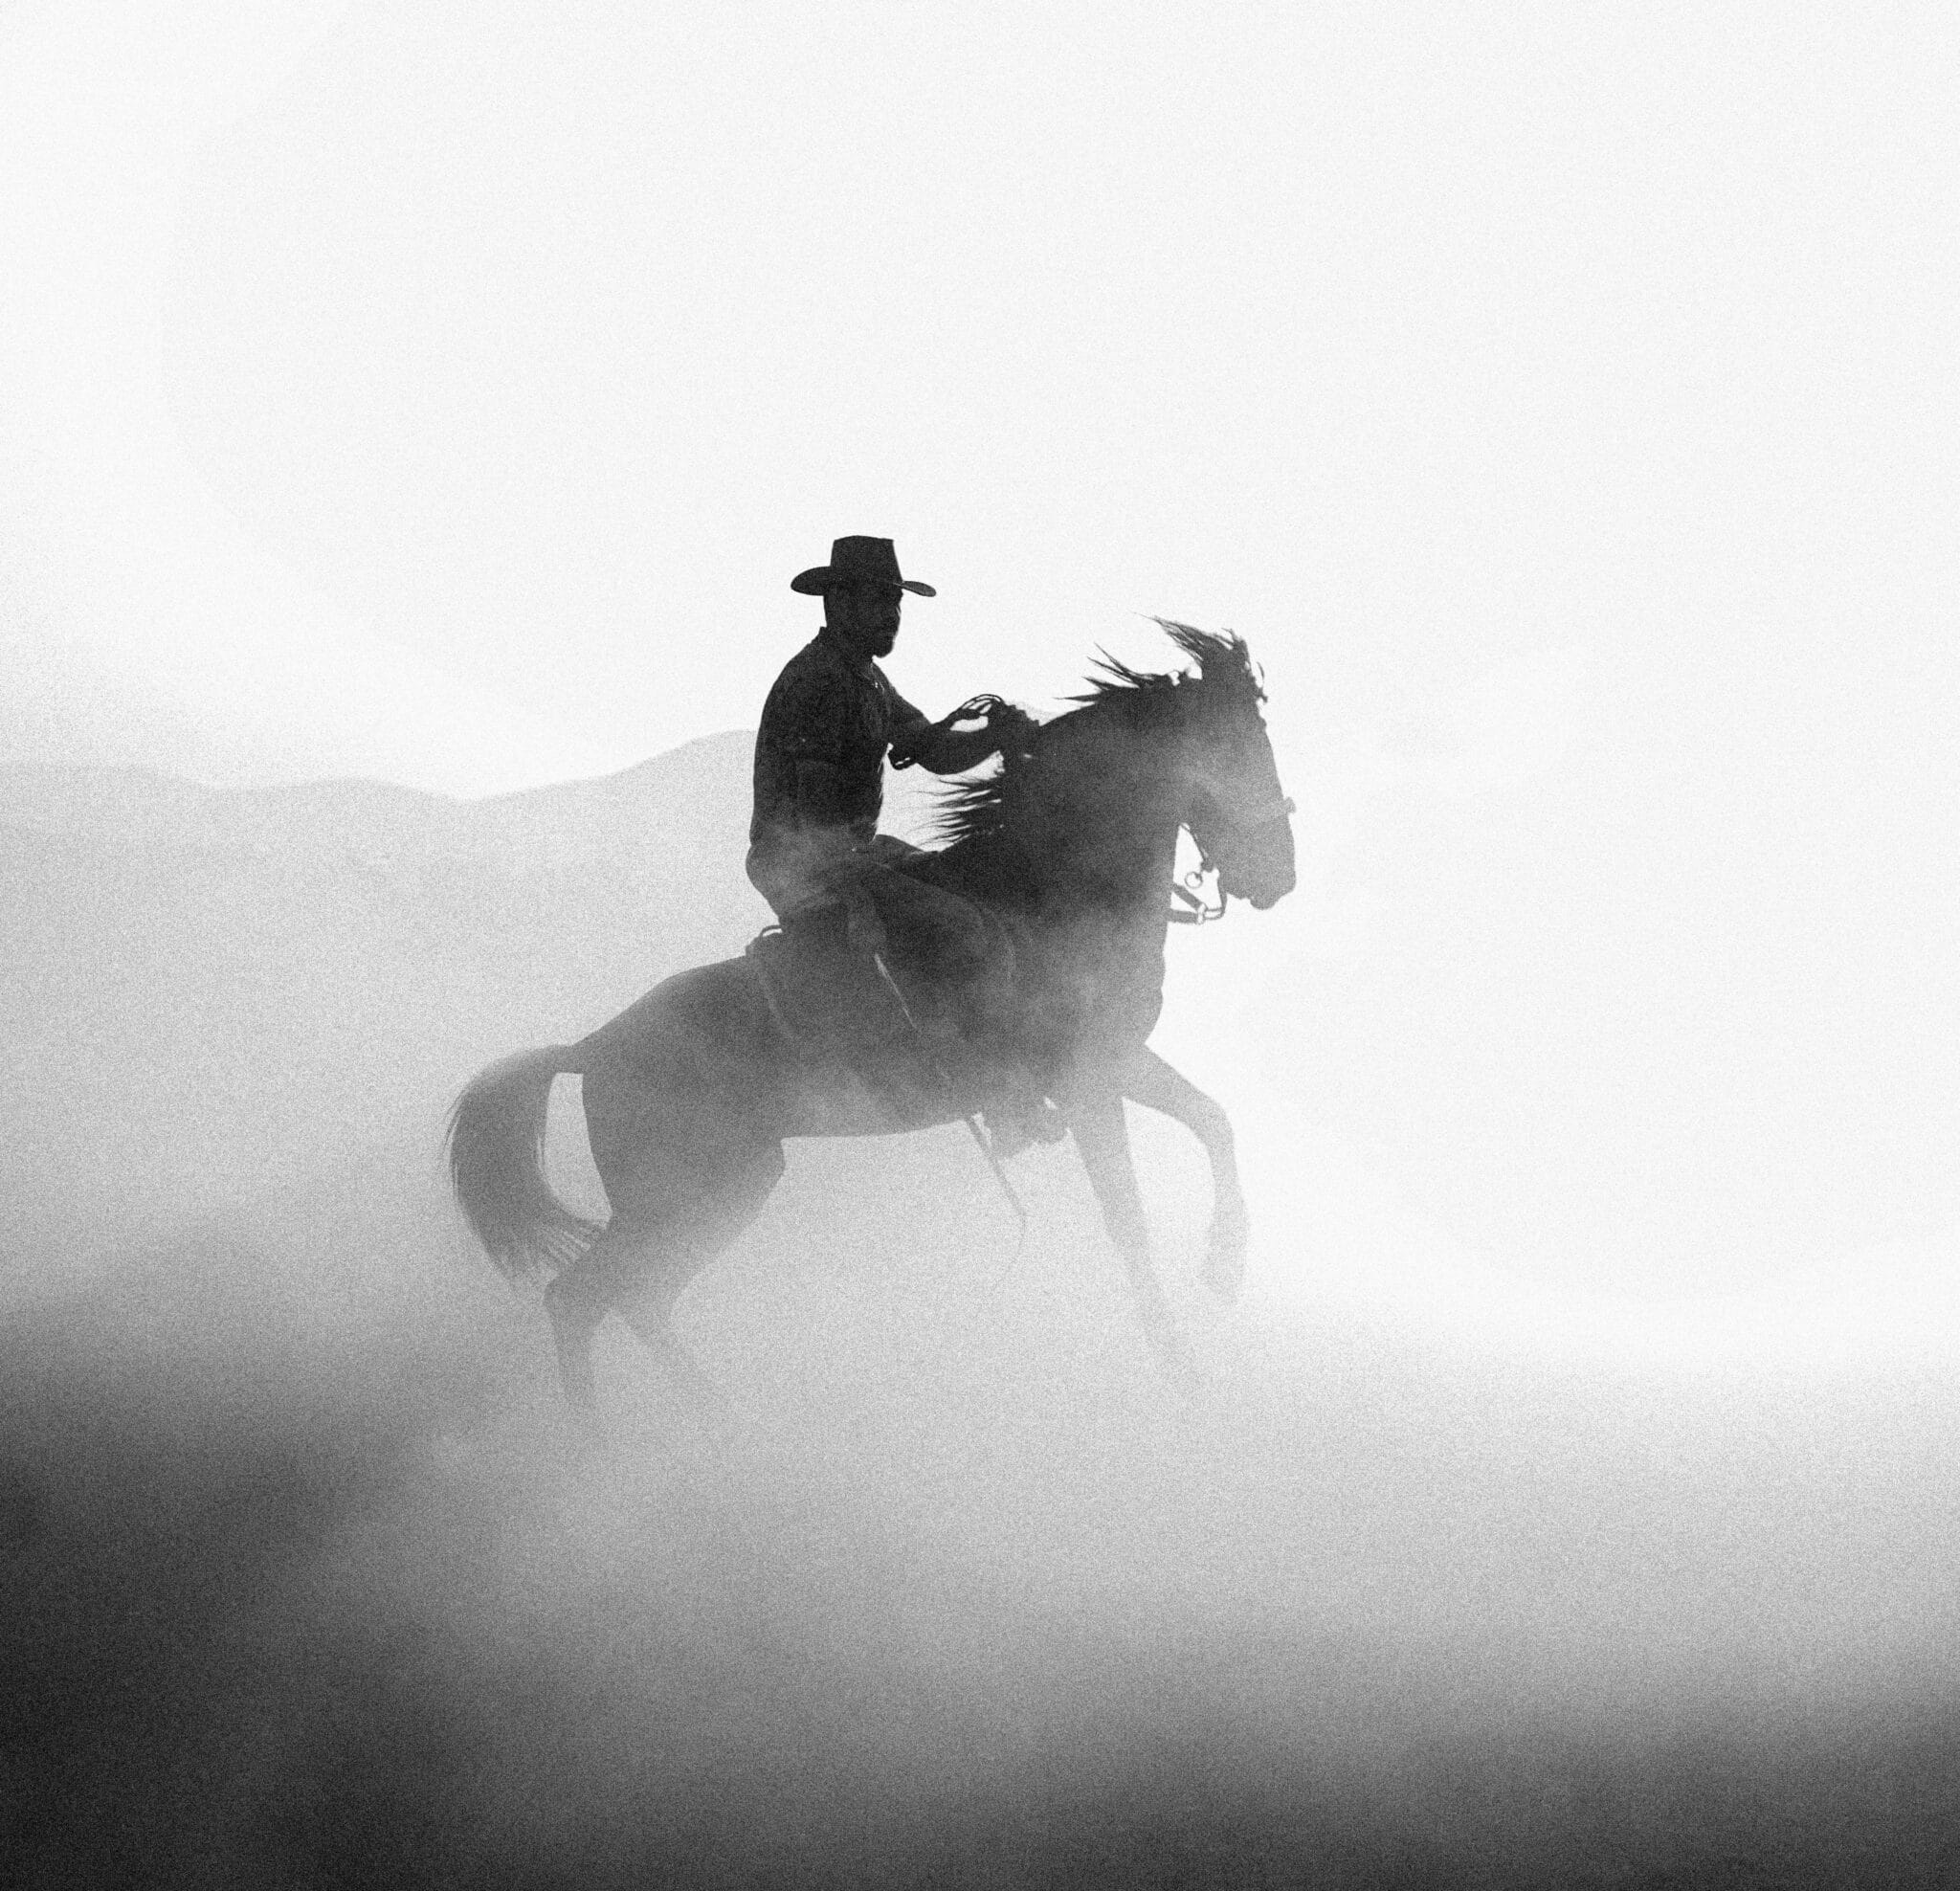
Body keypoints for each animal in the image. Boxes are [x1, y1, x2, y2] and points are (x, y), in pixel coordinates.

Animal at [446, 623, 1297, 1410]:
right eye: (1234, 746)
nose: (1280, 875)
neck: (1044, 888)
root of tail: (591, 1047)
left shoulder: (1119, 1062)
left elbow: (1213, 1120)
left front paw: (1224, 1264)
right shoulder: (1086, 1086)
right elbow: (1130, 1224)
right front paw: (1184, 1371)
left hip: (723, 1191)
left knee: (631, 1300)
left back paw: (714, 1426)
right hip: (686, 1193)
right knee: (583, 1297)